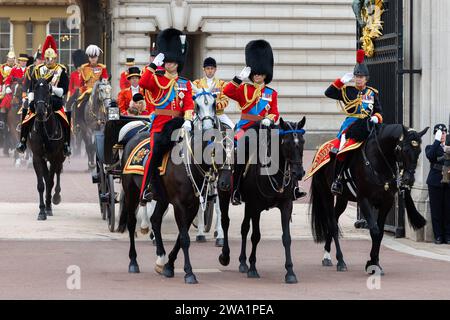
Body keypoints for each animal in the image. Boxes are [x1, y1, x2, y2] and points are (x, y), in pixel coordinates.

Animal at [28, 79, 66, 221]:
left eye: (48, 92)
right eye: (35, 89)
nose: (39, 112)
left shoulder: (55, 157)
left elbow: (50, 182)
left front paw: (48, 207)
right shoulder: (37, 157)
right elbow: (41, 184)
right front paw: (42, 210)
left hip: (60, 157)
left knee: (57, 174)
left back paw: (55, 197)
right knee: (47, 175)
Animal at [217, 117, 306, 282]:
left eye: (302, 141)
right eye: (287, 142)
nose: (298, 173)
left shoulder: (286, 205)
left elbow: (286, 238)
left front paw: (290, 272)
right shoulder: (256, 206)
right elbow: (256, 236)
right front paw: (253, 268)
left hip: (248, 205)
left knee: (244, 228)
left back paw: (242, 262)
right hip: (224, 194)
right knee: (225, 222)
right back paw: (225, 256)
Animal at [310, 122, 428, 276]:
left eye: (419, 151)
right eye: (404, 149)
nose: (409, 180)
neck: (378, 159)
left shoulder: (386, 202)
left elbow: (380, 233)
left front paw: (375, 263)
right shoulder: (364, 200)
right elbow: (374, 230)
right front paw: (372, 263)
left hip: (342, 199)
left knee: (334, 219)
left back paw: (327, 256)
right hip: (326, 194)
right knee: (333, 224)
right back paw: (340, 261)